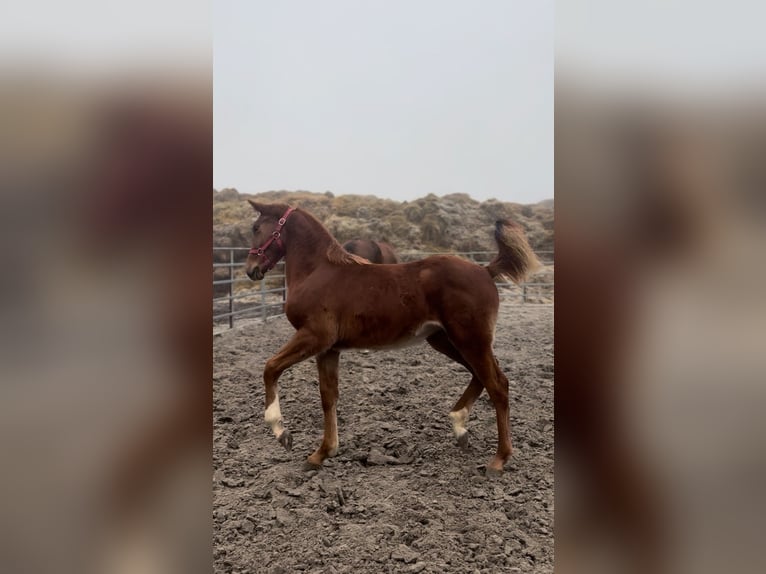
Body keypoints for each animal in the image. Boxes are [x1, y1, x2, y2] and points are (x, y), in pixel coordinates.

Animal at [245, 201, 540, 475]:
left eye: (256, 228)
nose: (251, 269)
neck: (318, 272)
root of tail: (485, 270)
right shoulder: (328, 349)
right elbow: (328, 397)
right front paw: (321, 453)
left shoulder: (314, 337)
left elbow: (270, 367)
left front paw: (282, 433)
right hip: (446, 340)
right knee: (481, 376)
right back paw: (459, 427)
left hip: (470, 339)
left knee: (498, 385)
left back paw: (499, 459)